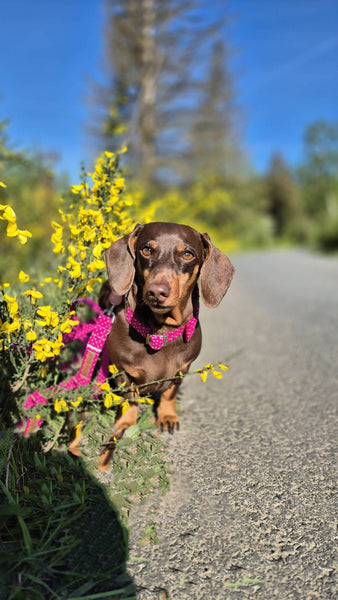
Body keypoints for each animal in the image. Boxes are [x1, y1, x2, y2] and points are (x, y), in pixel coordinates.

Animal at [96, 223, 234, 472]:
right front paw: (124, 425)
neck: (159, 333)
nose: (157, 291)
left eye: (187, 254)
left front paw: (167, 417)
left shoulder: (183, 369)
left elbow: (170, 394)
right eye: (146, 250)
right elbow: (130, 402)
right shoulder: (122, 372)